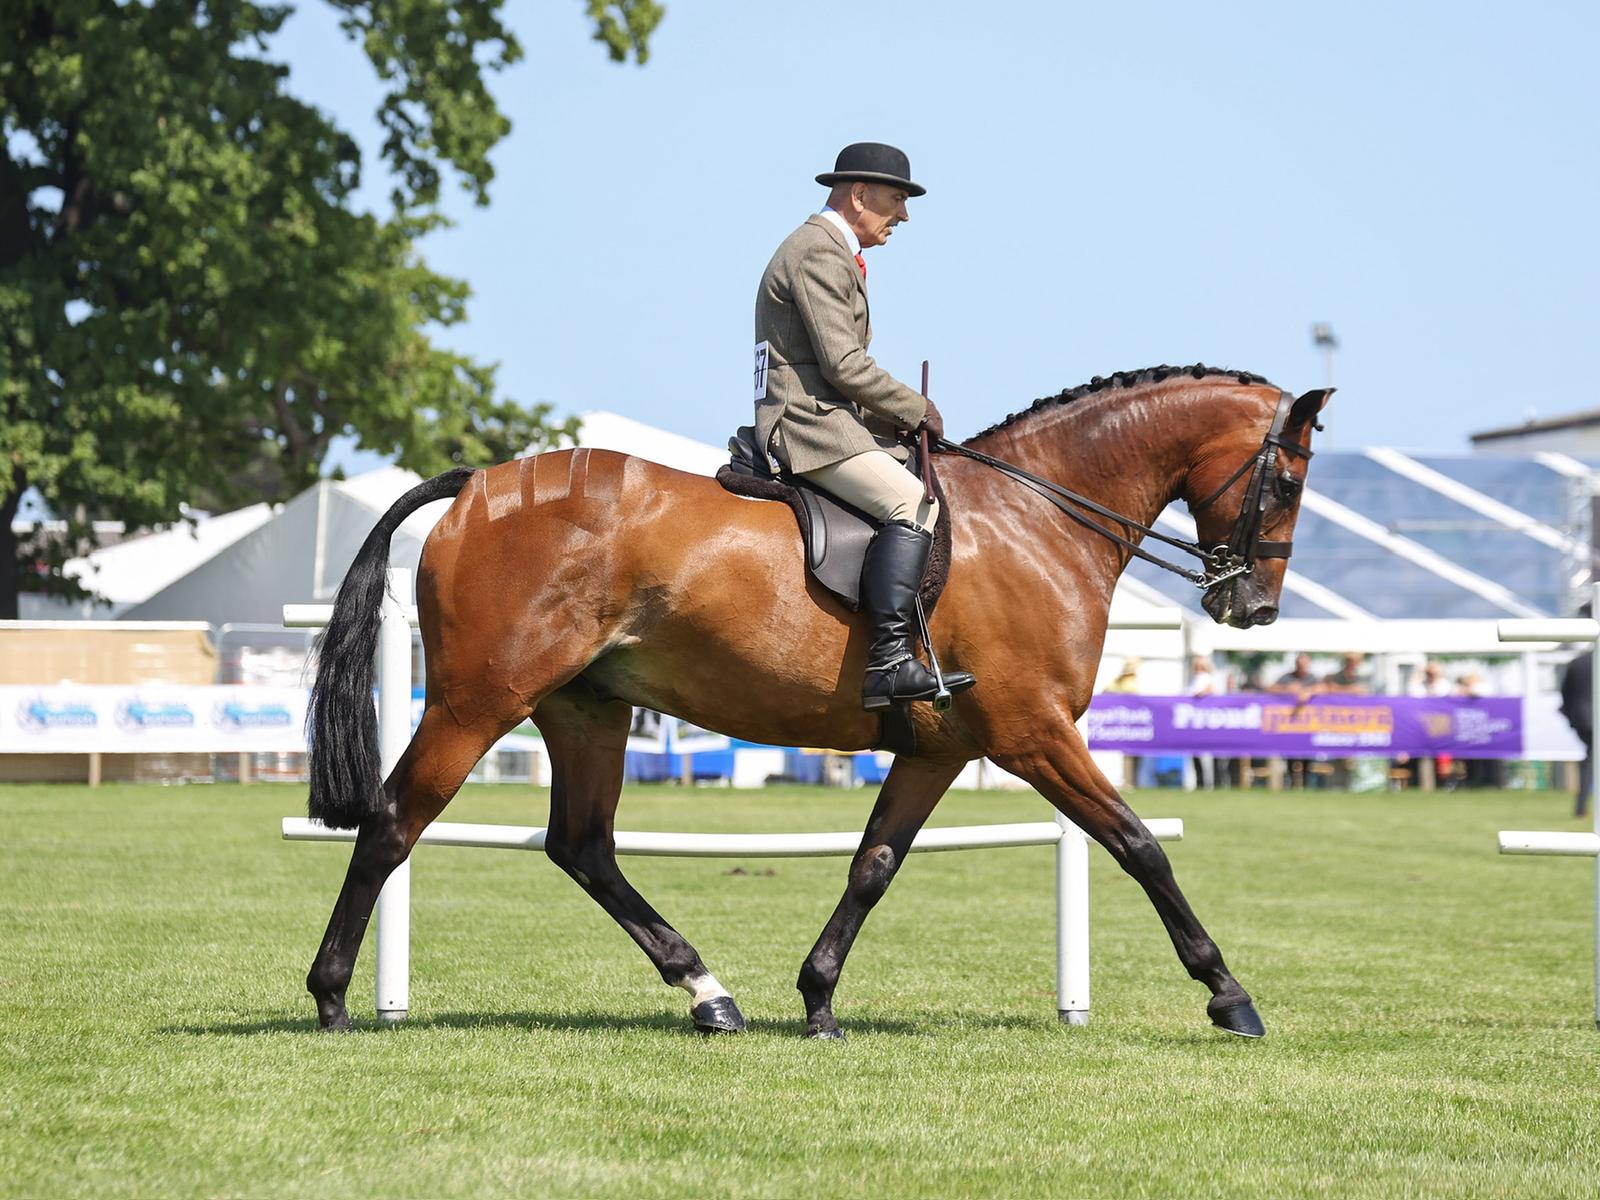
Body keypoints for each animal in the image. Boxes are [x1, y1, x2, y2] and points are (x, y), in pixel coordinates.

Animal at [301, 364, 1331, 1040]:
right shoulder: (1032, 733)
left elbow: (873, 865)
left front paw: (819, 997)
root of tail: (477, 483)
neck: (1035, 518)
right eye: (1285, 480)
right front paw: (1229, 996)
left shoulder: (939, 748)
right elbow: (1139, 845)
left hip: (586, 709)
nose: (1251, 609)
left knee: (583, 847)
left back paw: (709, 994)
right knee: (393, 823)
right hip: (478, 703)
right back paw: (334, 997)